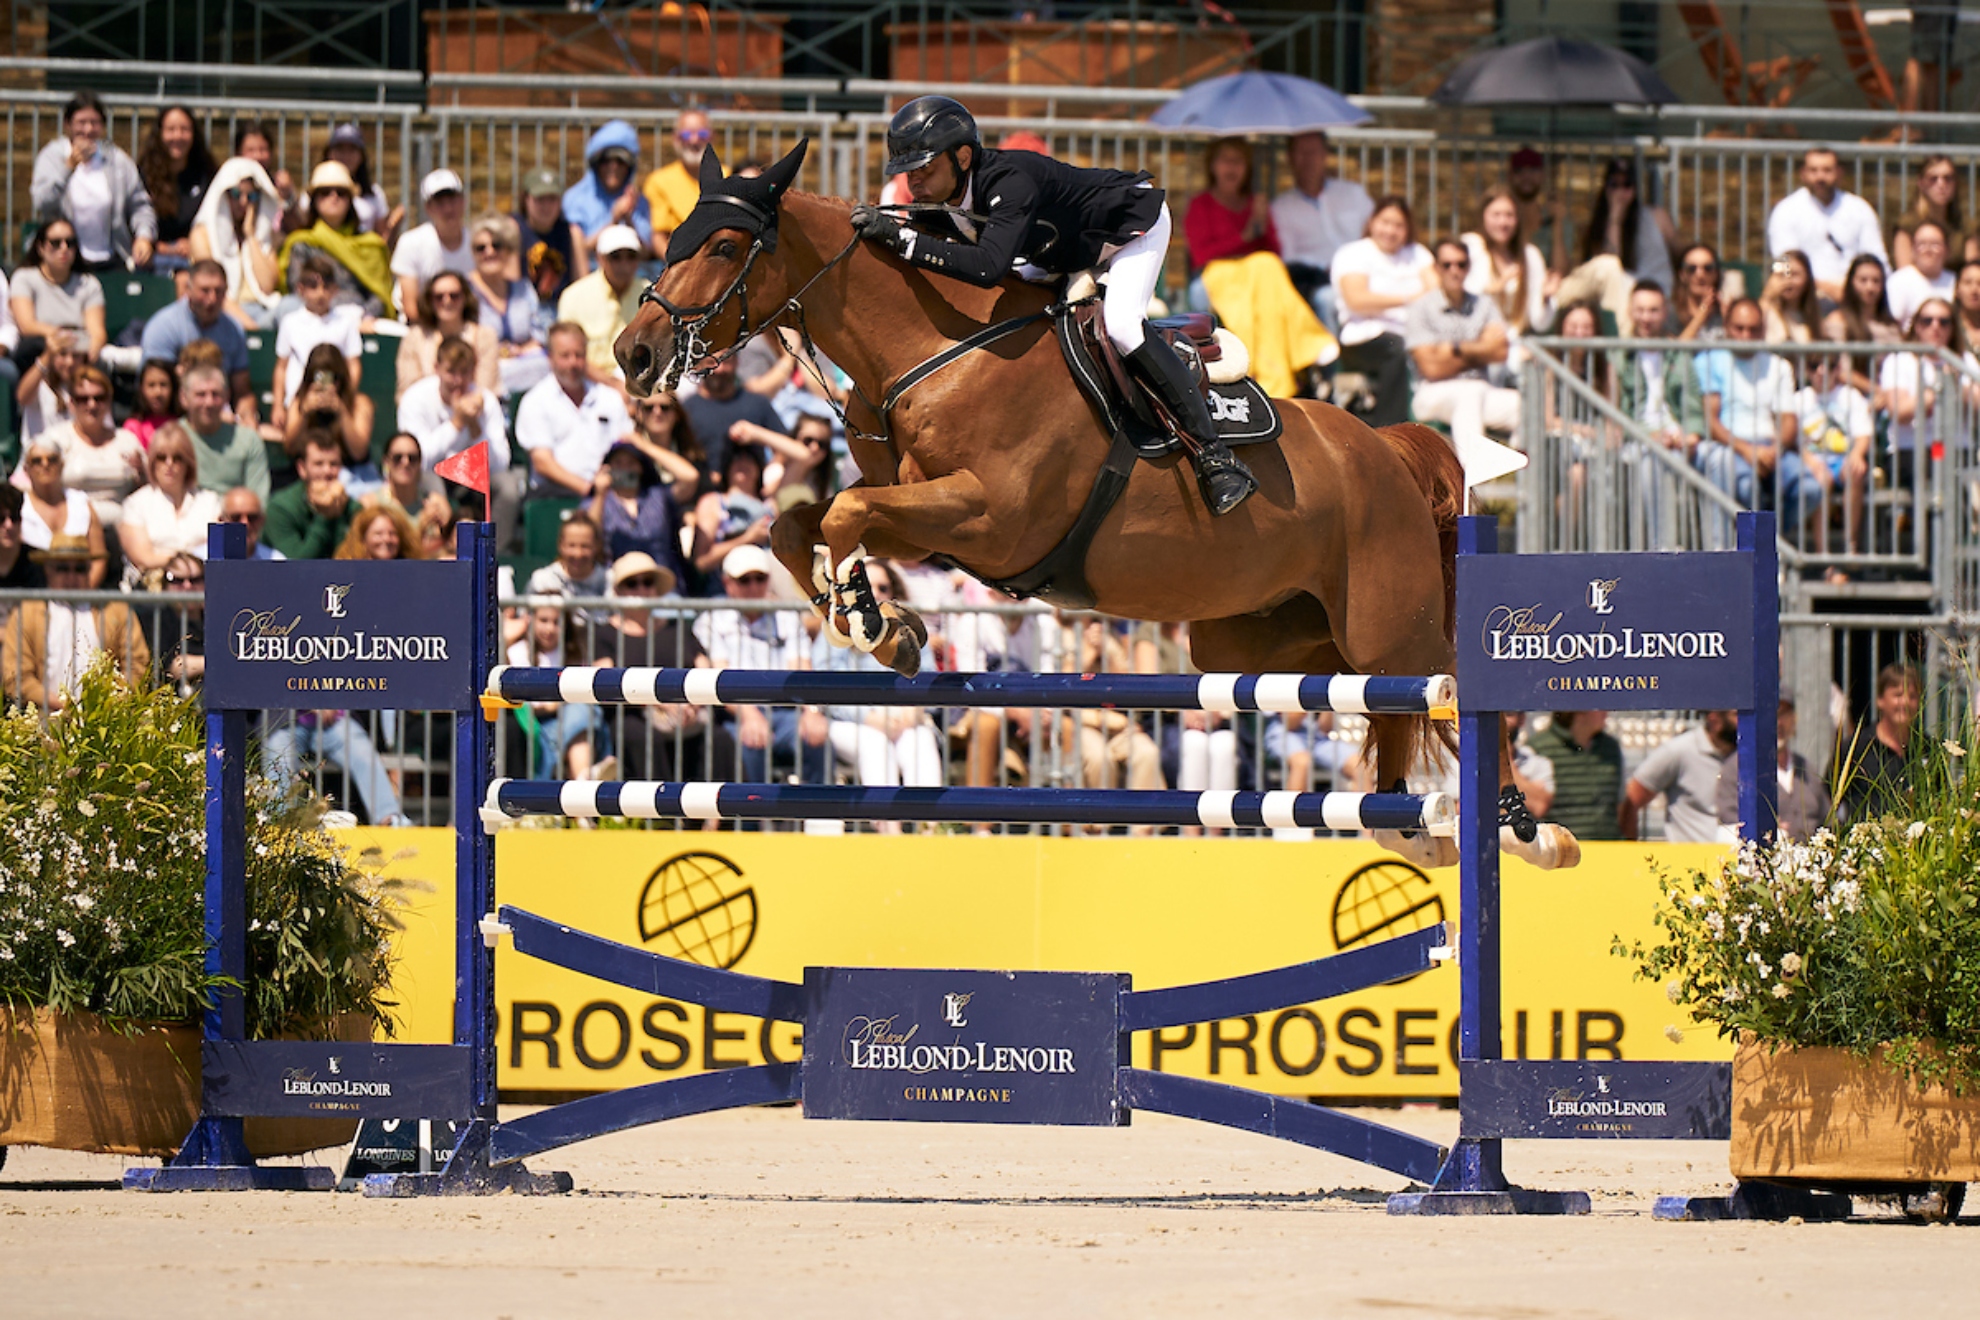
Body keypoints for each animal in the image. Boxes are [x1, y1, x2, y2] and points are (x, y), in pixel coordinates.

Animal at [617, 147, 1576, 866]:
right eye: (673, 241)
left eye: (723, 244)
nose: (633, 354)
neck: (935, 347)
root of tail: (1387, 449)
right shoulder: (928, 515)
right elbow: (799, 521)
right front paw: (881, 624)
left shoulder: (989, 517)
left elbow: (844, 516)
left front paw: (873, 622)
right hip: (1262, 637)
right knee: (1383, 707)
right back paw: (1424, 828)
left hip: (1387, 628)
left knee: (1450, 685)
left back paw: (1525, 832)